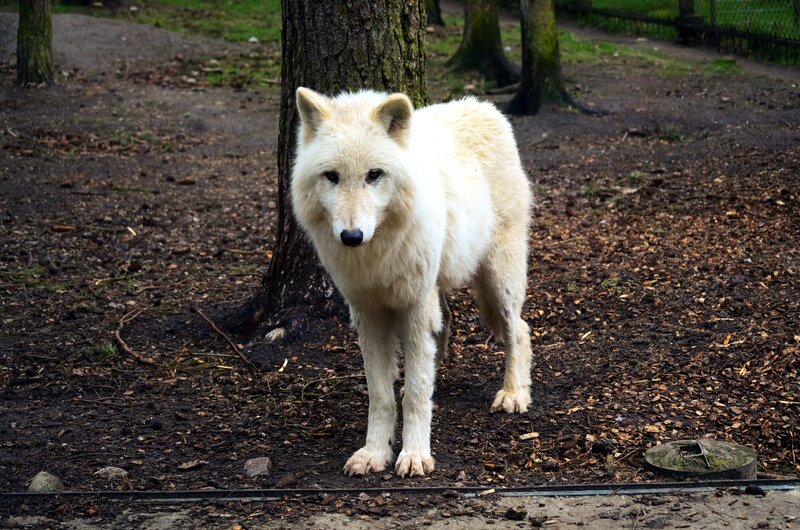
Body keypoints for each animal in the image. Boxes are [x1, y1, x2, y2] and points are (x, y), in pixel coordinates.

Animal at [290, 87, 533, 478]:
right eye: (332, 177)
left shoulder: (415, 307)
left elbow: (416, 393)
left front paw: (415, 454)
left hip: (499, 278)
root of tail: (484, 106)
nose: (351, 236)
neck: (377, 254)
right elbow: (382, 395)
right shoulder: (368, 313)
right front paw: (374, 452)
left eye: (374, 175)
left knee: (520, 330)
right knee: (447, 320)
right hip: (441, 282)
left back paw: (514, 394)